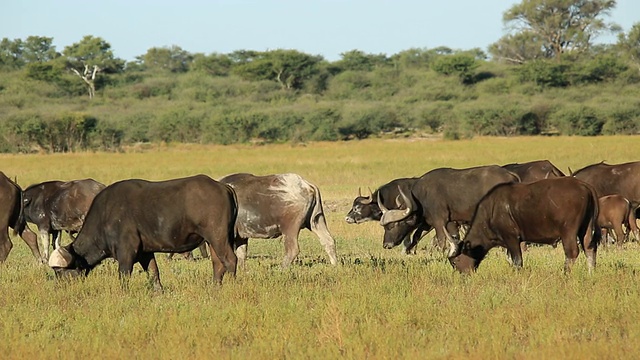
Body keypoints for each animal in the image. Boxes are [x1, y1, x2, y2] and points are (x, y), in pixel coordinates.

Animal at [47, 174, 238, 290]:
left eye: (60, 271)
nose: (59, 287)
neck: (105, 215)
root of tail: (223, 186)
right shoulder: (145, 253)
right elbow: (154, 273)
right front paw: (159, 292)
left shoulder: (126, 252)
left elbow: (124, 276)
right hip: (214, 240)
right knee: (218, 263)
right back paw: (215, 288)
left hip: (218, 236)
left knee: (230, 260)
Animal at [376, 166, 520, 256]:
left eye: (392, 226)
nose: (386, 245)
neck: (421, 197)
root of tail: (511, 176)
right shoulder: (434, 222)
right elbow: (417, 236)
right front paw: (409, 251)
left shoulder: (439, 222)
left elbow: (441, 241)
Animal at [448, 177, 604, 272]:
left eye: (455, 261)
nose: (463, 275)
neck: (491, 211)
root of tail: (583, 185)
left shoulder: (511, 238)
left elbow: (517, 261)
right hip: (586, 228)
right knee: (589, 249)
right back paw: (591, 273)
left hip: (568, 231)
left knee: (572, 252)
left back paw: (565, 274)